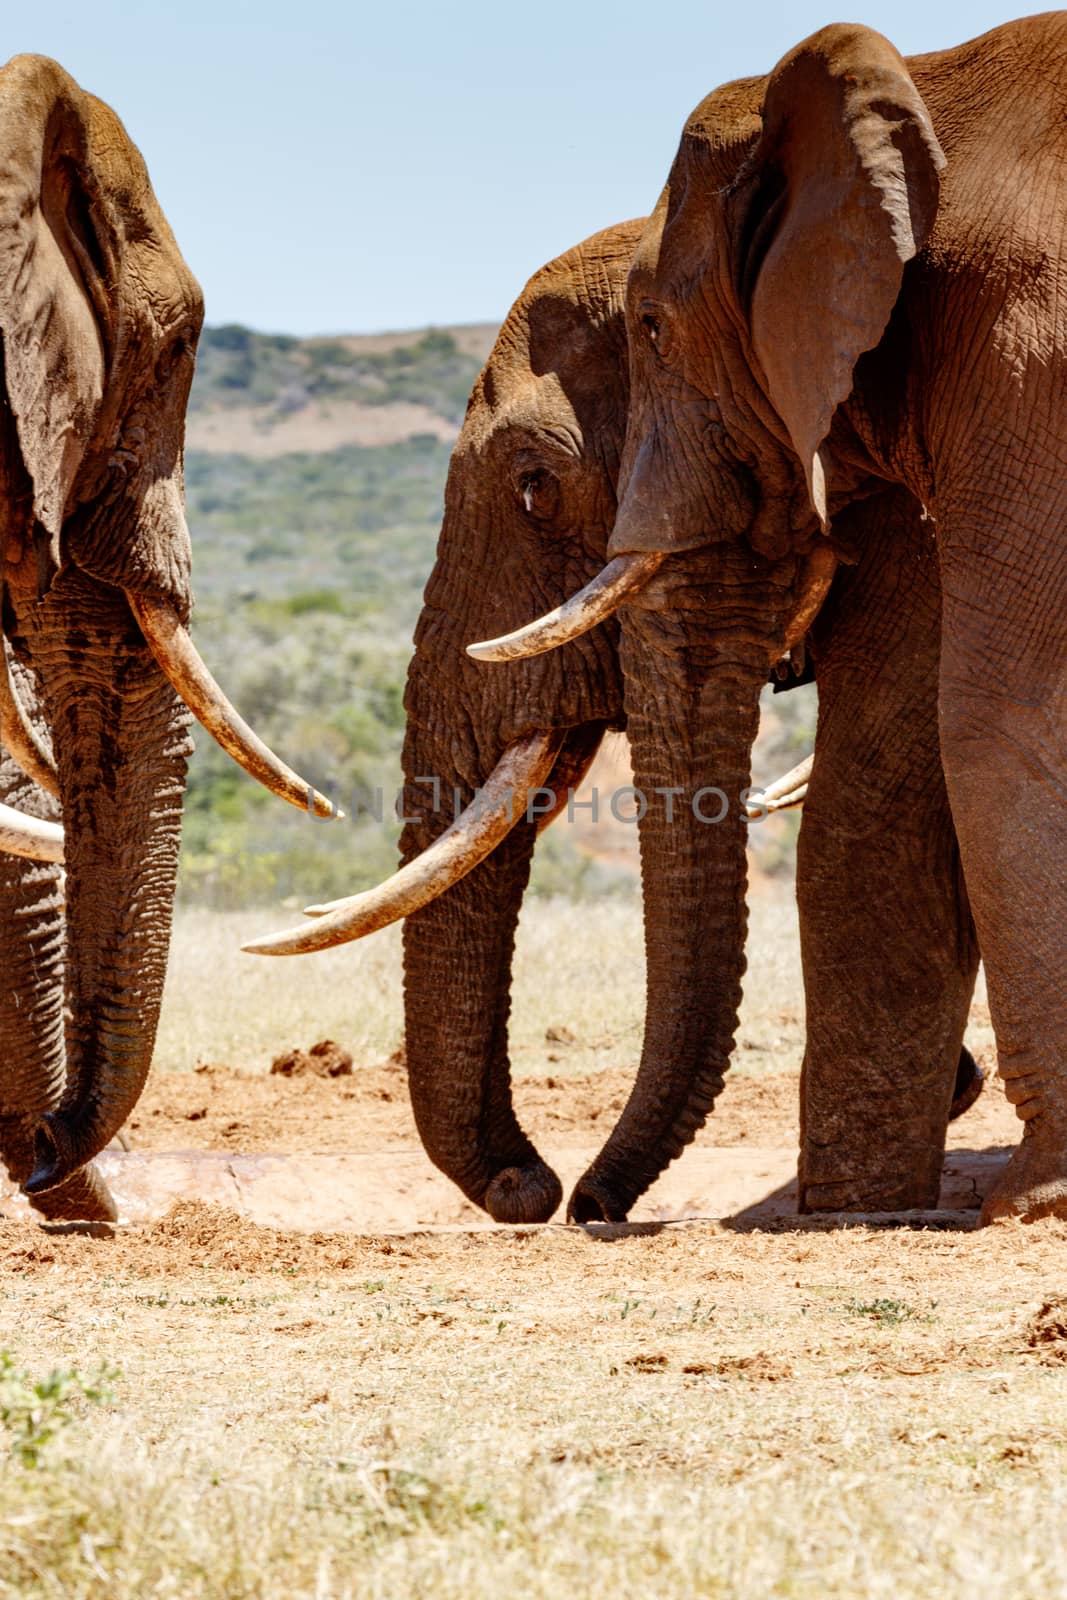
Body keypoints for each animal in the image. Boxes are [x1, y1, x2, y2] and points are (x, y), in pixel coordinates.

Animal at [463, 15, 1067, 1222]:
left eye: (532, 488)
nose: (554, 1194)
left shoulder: (1021, 368)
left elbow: (990, 714)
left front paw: (1030, 1199)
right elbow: (882, 782)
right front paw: (857, 1206)